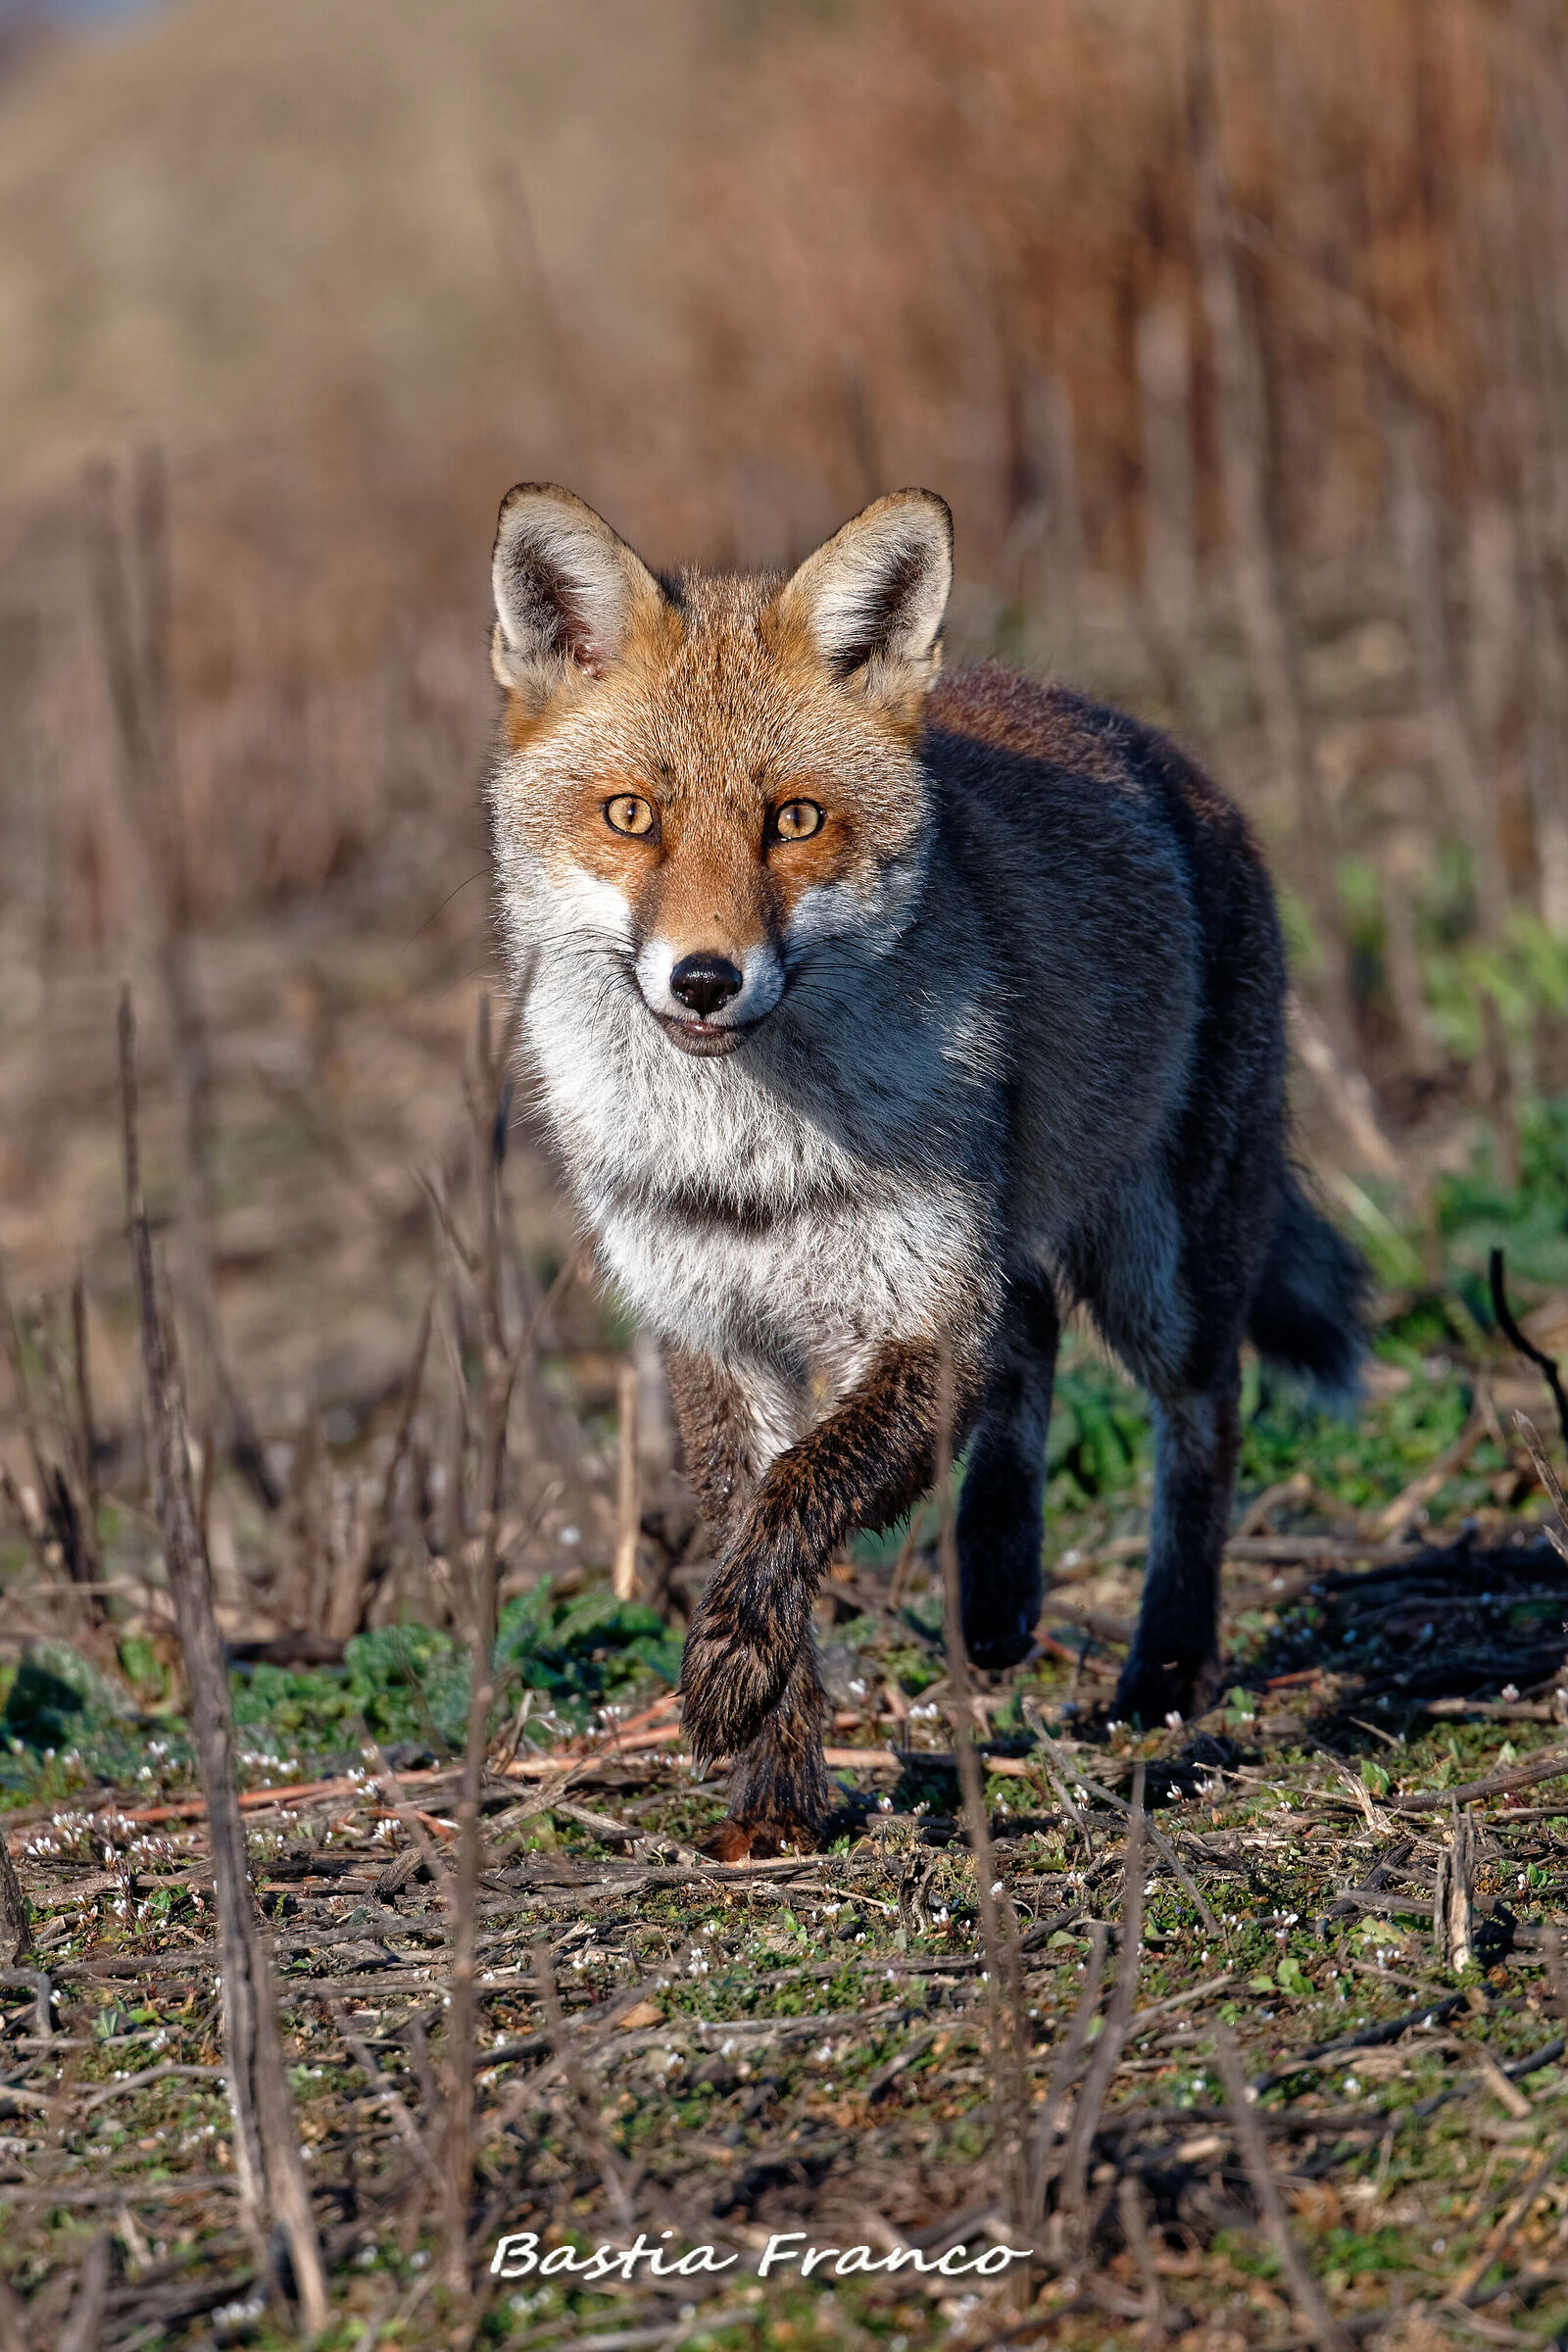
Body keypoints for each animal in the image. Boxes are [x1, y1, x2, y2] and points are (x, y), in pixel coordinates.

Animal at [484, 482, 1366, 1860]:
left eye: (794, 820)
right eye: (632, 815)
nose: (704, 978)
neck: (750, 1158)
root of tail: (1163, 751)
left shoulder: (916, 1312)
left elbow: (799, 1501)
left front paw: (727, 1674)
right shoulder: (712, 1330)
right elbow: (762, 1517)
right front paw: (778, 1792)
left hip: (1155, 1273)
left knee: (1199, 1409)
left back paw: (1163, 1672)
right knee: (1035, 1328)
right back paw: (999, 1587)